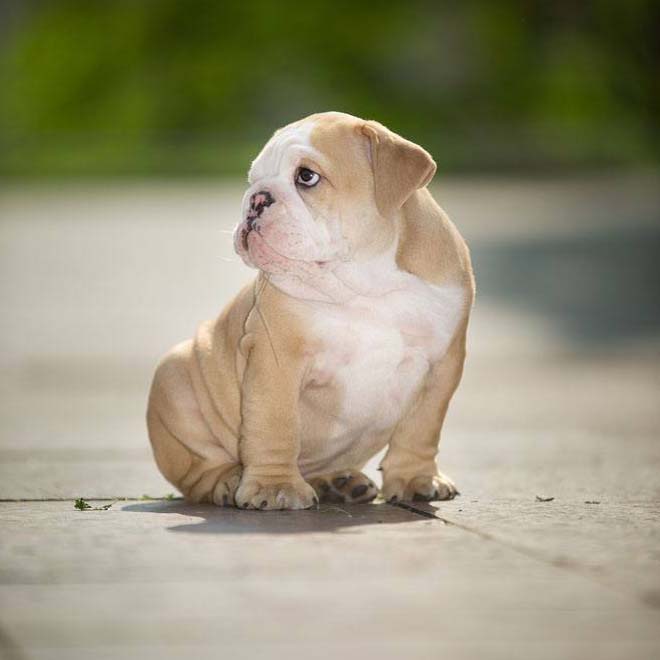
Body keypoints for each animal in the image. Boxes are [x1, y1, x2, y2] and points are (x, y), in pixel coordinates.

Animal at [147, 112, 472, 510]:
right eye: (253, 179)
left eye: (306, 177)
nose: (256, 198)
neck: (366, 279)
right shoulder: (277, 360)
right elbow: (275, 423)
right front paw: (273, 487)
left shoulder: (442, 366)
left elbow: (422, 427)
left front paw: (416, 478)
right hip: (173, 378)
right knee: (198, 472)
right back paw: (228, 481)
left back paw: (338, 482)